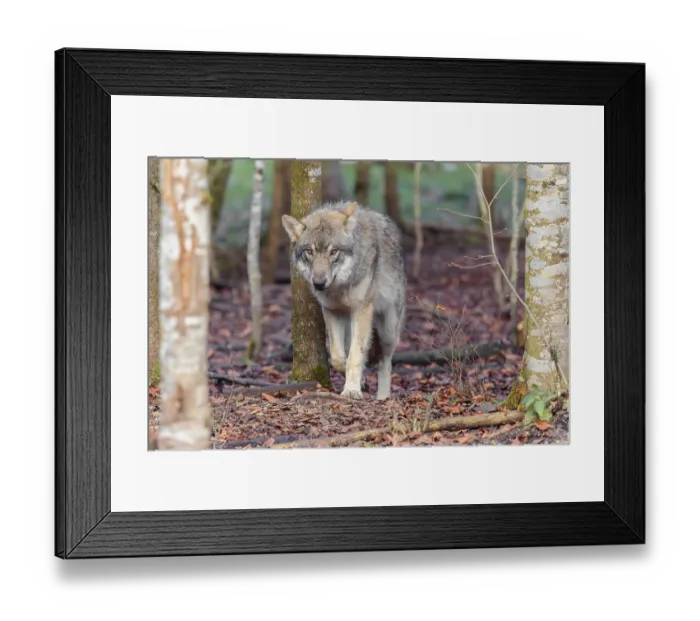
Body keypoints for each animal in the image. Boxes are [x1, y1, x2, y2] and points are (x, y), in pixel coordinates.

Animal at [282, 201, 406, 400]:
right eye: (309, 251)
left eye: (334, 251)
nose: (318, 283)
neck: (339, 288)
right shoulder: (333, 311)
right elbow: (338, 357)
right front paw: (358, 382)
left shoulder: (362, 310)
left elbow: (355, 356)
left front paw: (352, 390)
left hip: (388, 332)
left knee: (385, 362)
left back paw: (383, 397)